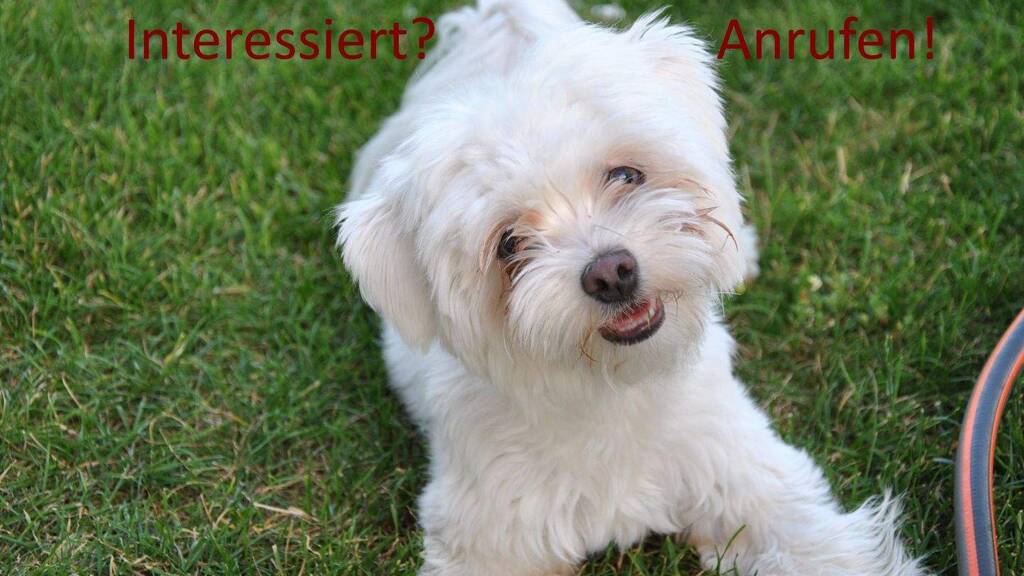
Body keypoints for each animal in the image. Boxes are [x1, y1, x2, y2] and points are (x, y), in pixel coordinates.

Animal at [336, 1, 927, 574]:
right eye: (509, 244)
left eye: (625, 175)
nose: (611, 272)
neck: (612, 389)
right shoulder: (490, 530)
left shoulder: (743, 470)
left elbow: (819, 545)